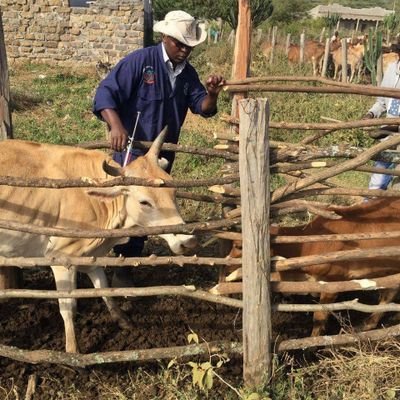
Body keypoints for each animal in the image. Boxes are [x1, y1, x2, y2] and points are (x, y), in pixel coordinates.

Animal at [0, 130, 197, 352]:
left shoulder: (91, 257)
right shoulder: (60, 259)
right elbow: (67, 307)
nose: (188, 241)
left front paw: (123, 320)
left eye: (173, 192)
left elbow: (104, 288)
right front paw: (72, 349)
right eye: (144, 202)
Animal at [225, 198, 400, 336]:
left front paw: (313, 341)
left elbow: (319, 316)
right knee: (388, 295)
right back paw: (368, 324)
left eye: (238, 246)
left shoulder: (333, 284)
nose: (226, 265)